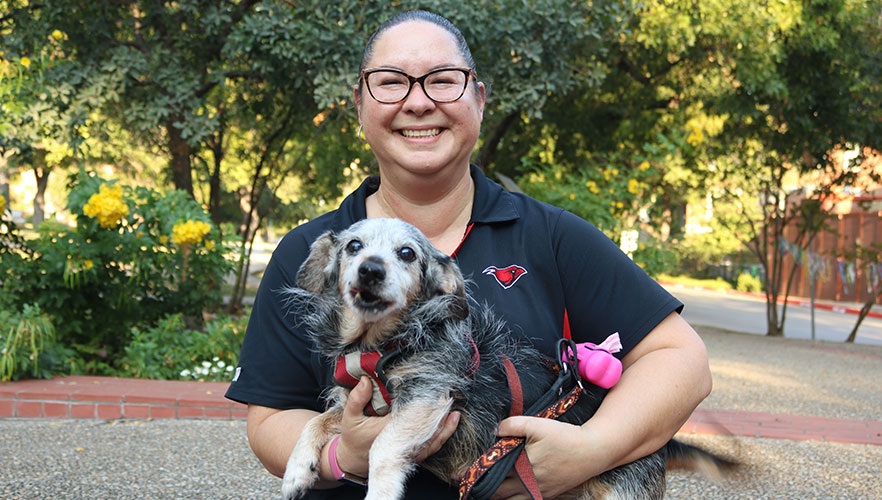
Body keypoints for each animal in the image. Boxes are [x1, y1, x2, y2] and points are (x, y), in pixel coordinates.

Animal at [280, 219, 728, 500]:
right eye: (353, 246)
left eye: (406, 253)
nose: (371, 270)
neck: (381, 345)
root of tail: (664, 444)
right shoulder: (355, 404)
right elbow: (315, 423)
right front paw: (297, 470)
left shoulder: (427, 396)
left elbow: (382, 448)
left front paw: (379, 491)